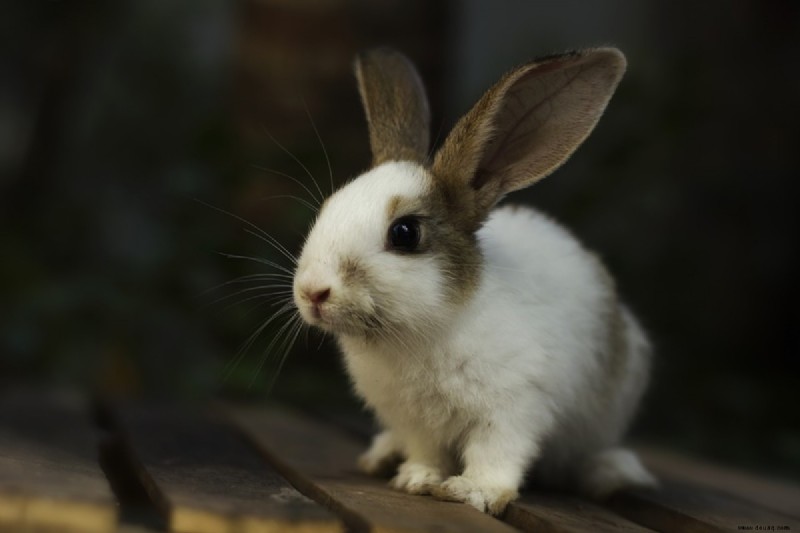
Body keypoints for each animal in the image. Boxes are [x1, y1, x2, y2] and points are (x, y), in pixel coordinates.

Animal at [290, 47, 652, 512]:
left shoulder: (513, 408)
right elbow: (426, 451)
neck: (422, 331)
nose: (312, 292)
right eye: (328, 208)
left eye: (404, 233)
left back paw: (614, 475)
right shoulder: (416, 422)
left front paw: (473, 491)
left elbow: (496, 453)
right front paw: (416, 479)